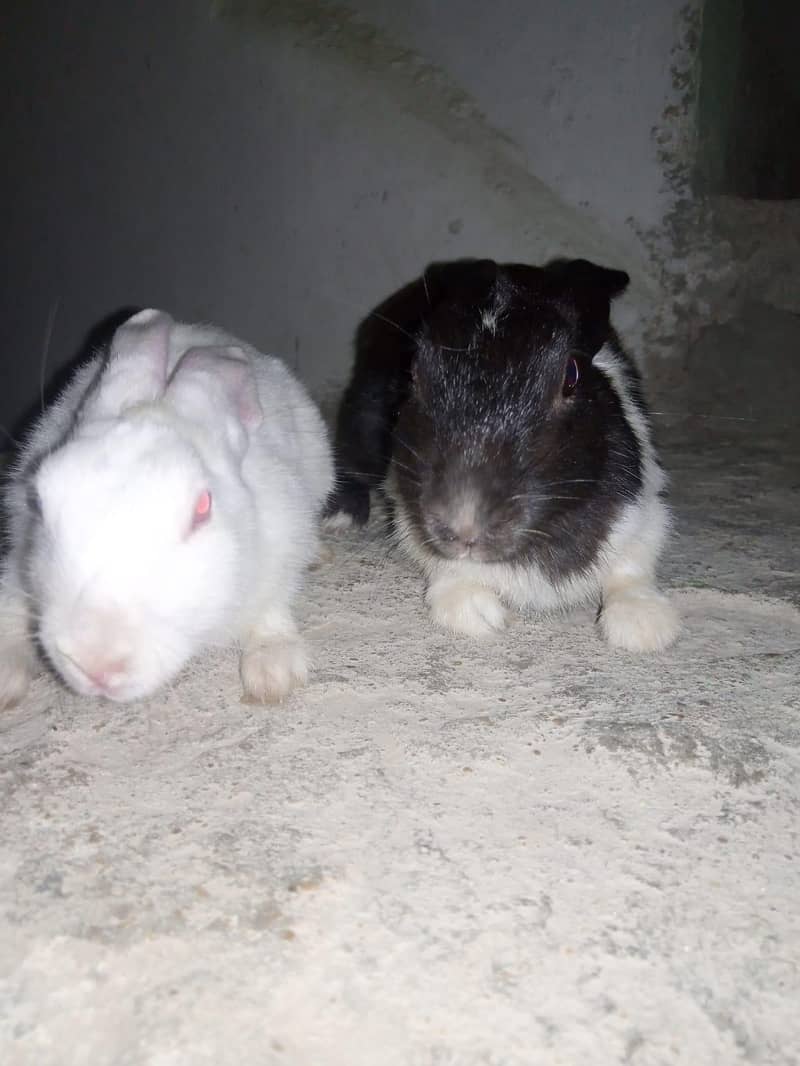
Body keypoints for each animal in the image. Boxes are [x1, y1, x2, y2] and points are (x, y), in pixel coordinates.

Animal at [0, 308, 333, 708]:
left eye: (202, 507)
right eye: (39, 500)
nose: (95, 661)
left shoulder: (282, 548)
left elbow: (272, 611)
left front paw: (272, 674)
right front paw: (5, 675)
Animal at [324, 257, 679, 652]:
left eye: (571, 375)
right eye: (413, 371)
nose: (462, 526)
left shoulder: (645, 512)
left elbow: (632, 567)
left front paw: (644, 627)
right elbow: (448, 571)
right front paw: (477, 614)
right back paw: (338, 518)